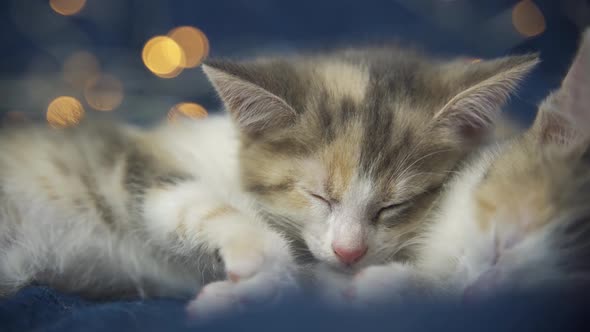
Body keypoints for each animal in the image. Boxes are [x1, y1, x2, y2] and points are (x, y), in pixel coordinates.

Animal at [0, 46, 536, 314]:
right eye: (318, 195)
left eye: (395, 206)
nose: (349, 252)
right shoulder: (133, 162)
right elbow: (191, 200)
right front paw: (257, 254)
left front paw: (238, 295)